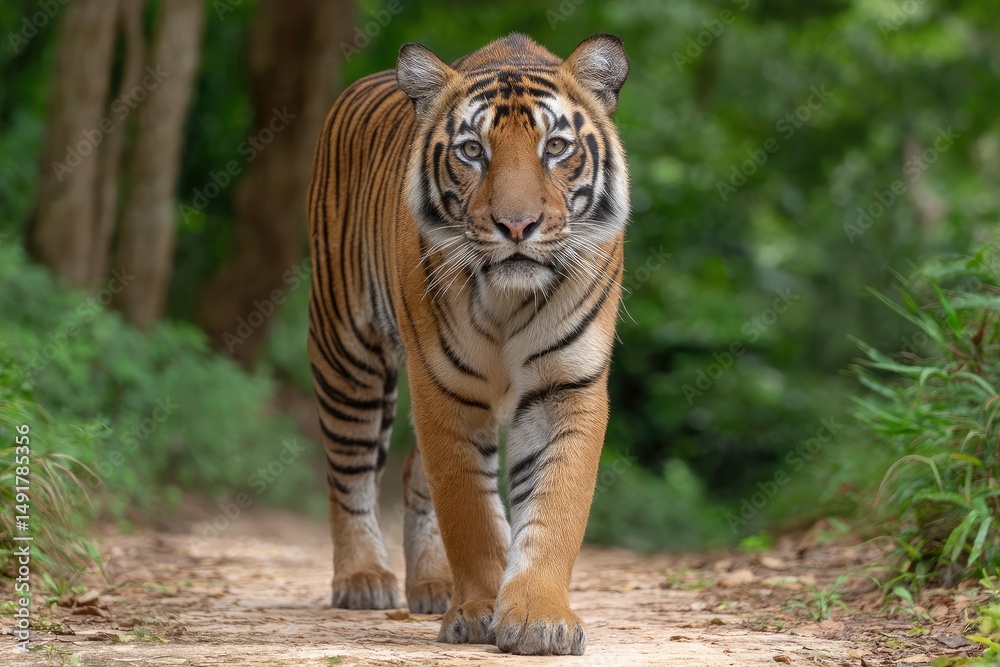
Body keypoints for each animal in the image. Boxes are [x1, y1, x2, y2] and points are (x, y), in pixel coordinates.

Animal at [306, 32, 630, 656]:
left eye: (556, 147)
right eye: (473, 151)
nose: (517, 226)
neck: (508, 299)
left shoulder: (565, 385)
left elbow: (554, 508)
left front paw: (538, 618)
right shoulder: (443, 387)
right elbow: (469, 511)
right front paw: (479, 610)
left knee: (412, 475)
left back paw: (431, 584)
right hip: (347, 352)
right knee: (349, 471)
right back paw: (363, 577)